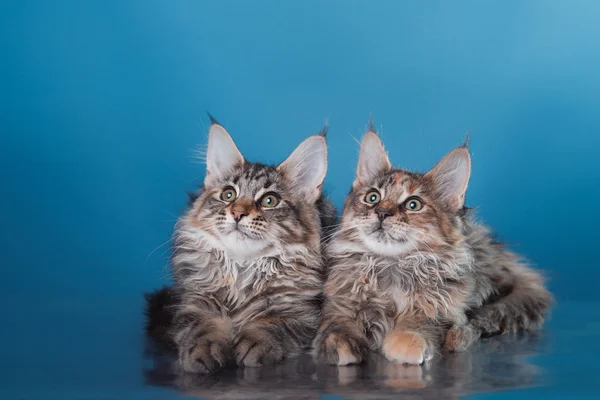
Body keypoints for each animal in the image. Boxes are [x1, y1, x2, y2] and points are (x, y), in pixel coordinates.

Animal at [144, 120, 336, 374]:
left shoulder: (301, 312)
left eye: (269, 201)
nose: (237, 213)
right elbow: (202, 326)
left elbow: (273, 323)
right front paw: (204, 349)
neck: (243, 266)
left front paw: (255, 342)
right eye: (228, 195)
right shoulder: (194, 301)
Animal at [314, 127, 552, 366]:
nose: (382, 212)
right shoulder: (339, 302)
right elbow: (338, 324)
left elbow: (417, 325)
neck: (390, 266)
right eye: (373, 198)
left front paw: (405, 342)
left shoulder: (441, 310)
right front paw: (342, 345)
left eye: (413, 204)